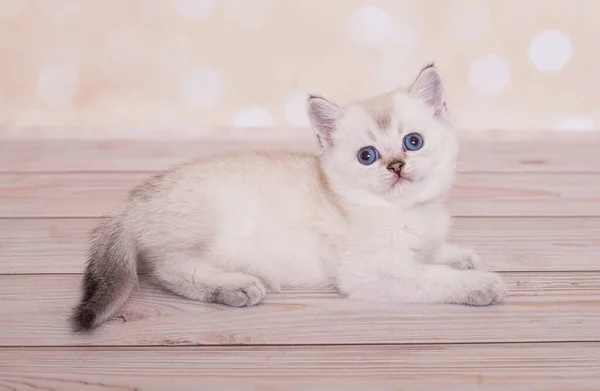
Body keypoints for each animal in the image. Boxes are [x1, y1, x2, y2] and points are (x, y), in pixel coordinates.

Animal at [72, 65, 508, 334]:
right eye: (367, 156)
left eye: (412, 142)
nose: (397, 165)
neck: (403, 211)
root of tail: (133, 201)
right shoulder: (375, 274)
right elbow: (433, 277)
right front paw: (481, 284)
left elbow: (432, 254)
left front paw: (459, 256)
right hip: (203, 234)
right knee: (171, 270)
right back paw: (235, 287)